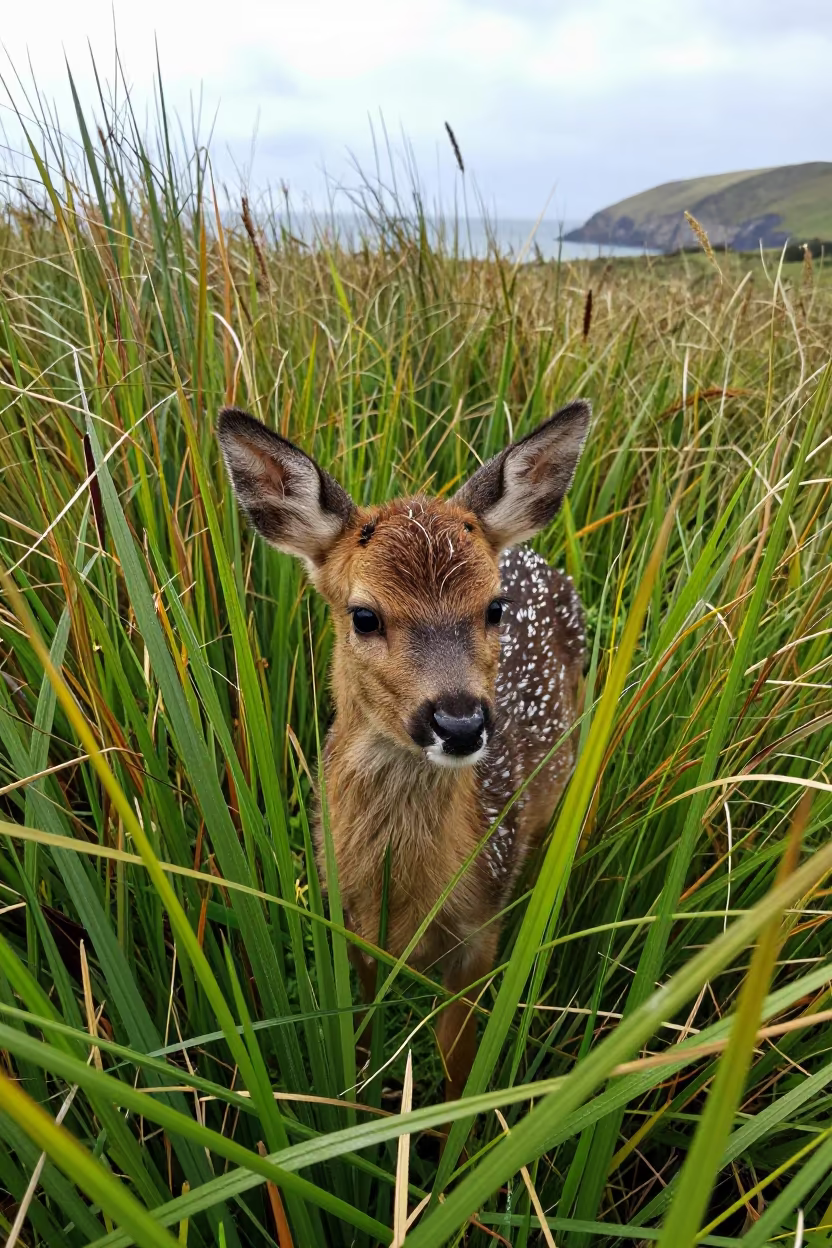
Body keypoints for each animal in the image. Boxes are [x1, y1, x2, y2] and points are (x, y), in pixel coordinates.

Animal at [218, 399, 590, 1100]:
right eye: (364, 615)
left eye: (494, 608)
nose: (461, 722)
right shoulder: (345, 922)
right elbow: (359, 1039)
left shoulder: (481, 933)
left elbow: (455, 1062)